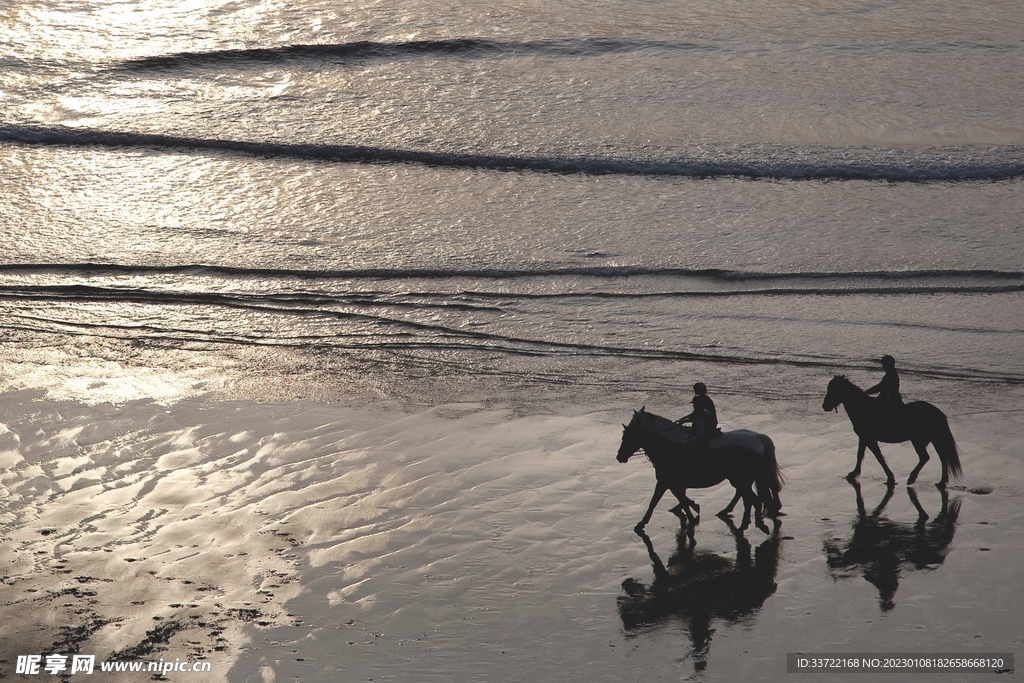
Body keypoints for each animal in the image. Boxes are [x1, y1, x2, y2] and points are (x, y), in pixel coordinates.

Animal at [616, 407, 783, 534]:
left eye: (628, 435)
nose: (619, 457)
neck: (668, 447)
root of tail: (759, 436)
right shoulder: (673, 484)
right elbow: (680, 499)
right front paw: (690, 511)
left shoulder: (666, 482)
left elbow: (657, 501)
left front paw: (642, 523)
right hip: (742, 479)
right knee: (745, 495)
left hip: (740, 479)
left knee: (751, 497)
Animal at [822, 375, 962, 488]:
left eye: (833, 389)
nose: (825, 406)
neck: (863, 407)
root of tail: (938, 412)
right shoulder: (863, 437)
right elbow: (860, 455)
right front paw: (853, 474)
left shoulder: (869, 438)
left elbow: (878, 457)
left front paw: (890, 477)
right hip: (933, 439)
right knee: (942, 458)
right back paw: (941, 482)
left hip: (918, 439)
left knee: (925, 457)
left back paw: (913, 479)